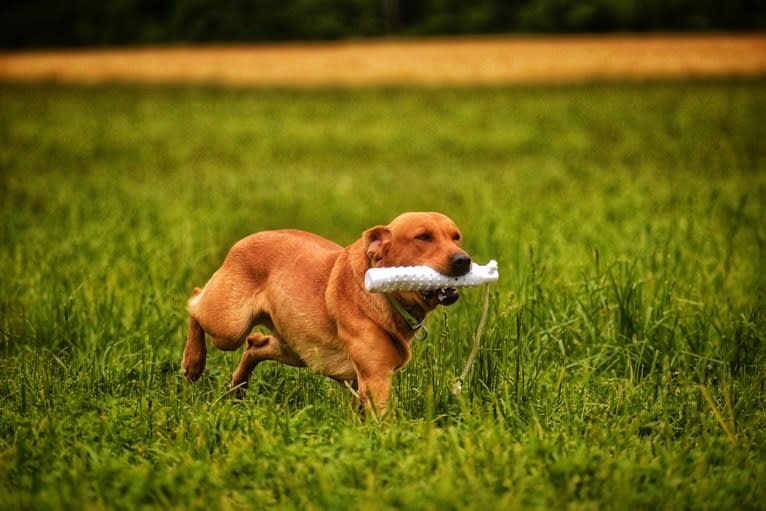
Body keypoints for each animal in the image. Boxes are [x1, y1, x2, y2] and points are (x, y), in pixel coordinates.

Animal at [184, 212, 474, 416]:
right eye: (423, 237)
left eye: (456, 237)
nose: (464, 260)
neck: (386, 298)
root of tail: (245, 239)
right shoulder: (376, 377)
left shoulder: (362, 381)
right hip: (229, 325)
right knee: (194, 302)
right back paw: (193, 362)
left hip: (297, 349)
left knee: (256, 343)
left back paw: (239, 388)